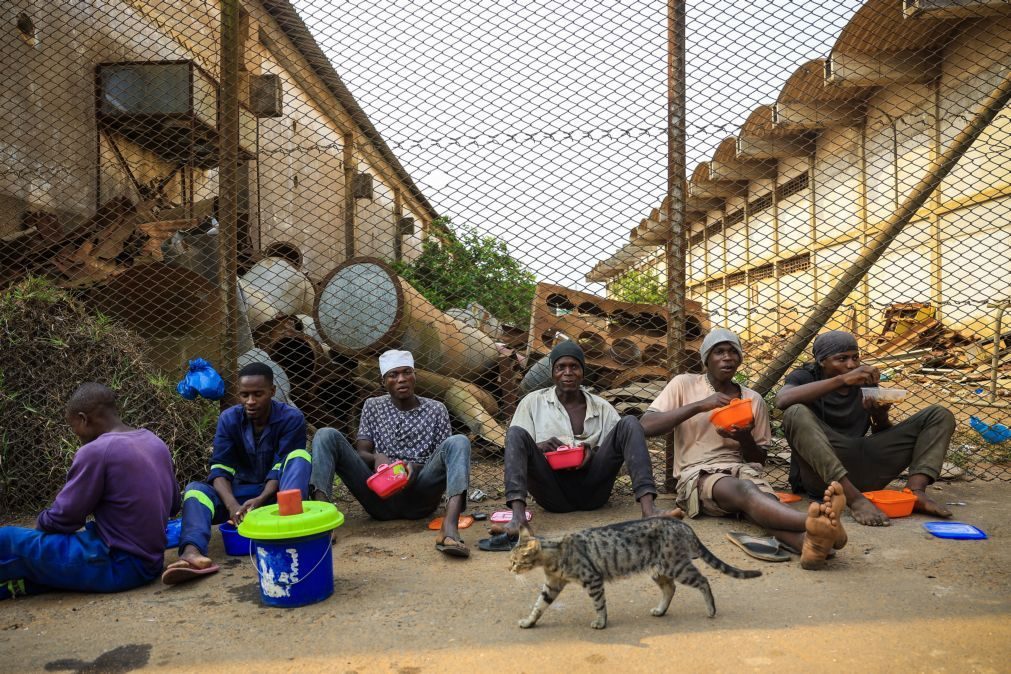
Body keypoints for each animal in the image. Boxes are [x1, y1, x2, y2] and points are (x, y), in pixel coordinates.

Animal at [509, 521, 760, 630]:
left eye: (514, 561)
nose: (509, 569)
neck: (554, 555)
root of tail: (682, 523)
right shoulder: (552, 585)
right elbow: (538, 605)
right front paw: (529, 621)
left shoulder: (593, 579)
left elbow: (599, 604)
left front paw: (601, 622)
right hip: (660, 569)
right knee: (670, 588)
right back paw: (660, 610)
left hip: (677, 566)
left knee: (703, 581)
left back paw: (711, 609)